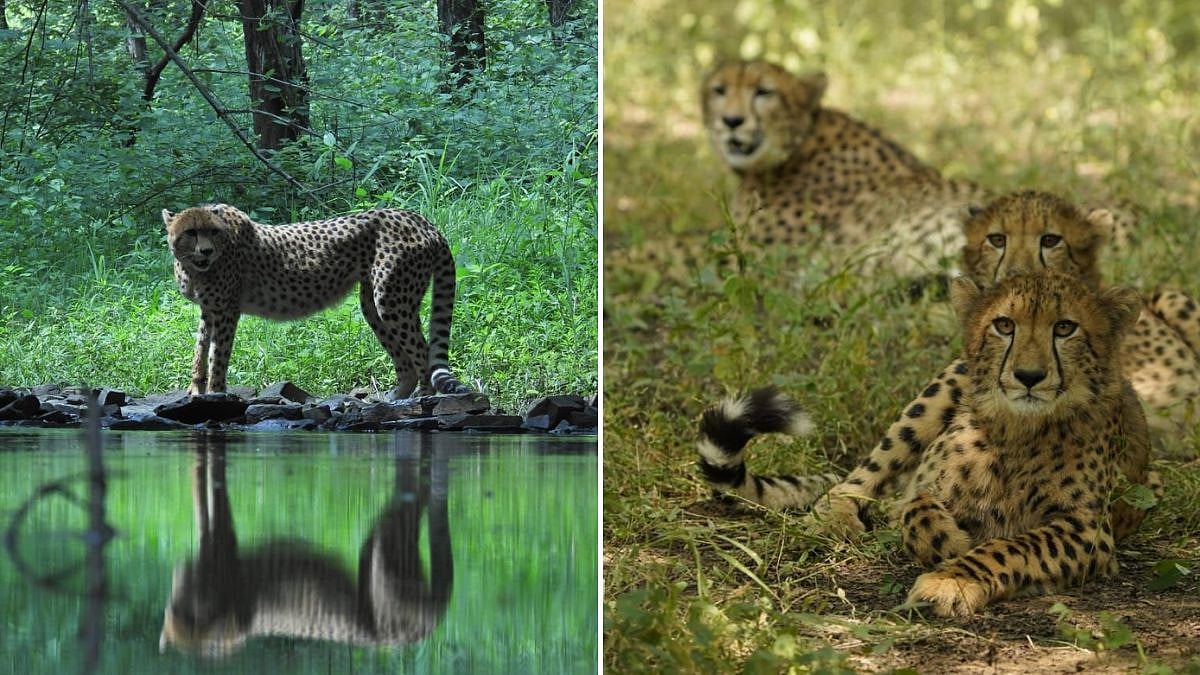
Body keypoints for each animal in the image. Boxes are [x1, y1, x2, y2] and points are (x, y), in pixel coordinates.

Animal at [163, 204, 470, 397]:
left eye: (213, 232)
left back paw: (424, 400)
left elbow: (218, 354)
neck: (194, 268)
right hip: (374, 304)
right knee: (406, 360)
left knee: (422, 350)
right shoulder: (209, 309)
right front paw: (195, 390)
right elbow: (200, 349)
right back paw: (395, 398)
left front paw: (216, 393)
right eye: (191, 232)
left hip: (391, 299)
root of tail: (421, 219)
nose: (206, 250)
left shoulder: (227, 309)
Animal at [699, 270, 1155, 616]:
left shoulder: (1087, 529)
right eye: (1004, 325)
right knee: (854, 482)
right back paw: (835, 519)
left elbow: (1011, 546)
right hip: (941, 388)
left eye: (1065, 327)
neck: (1015, 429)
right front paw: (948, 543)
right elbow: (916, 506)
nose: (1028, 376)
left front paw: (952, 578)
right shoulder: (925, 486)